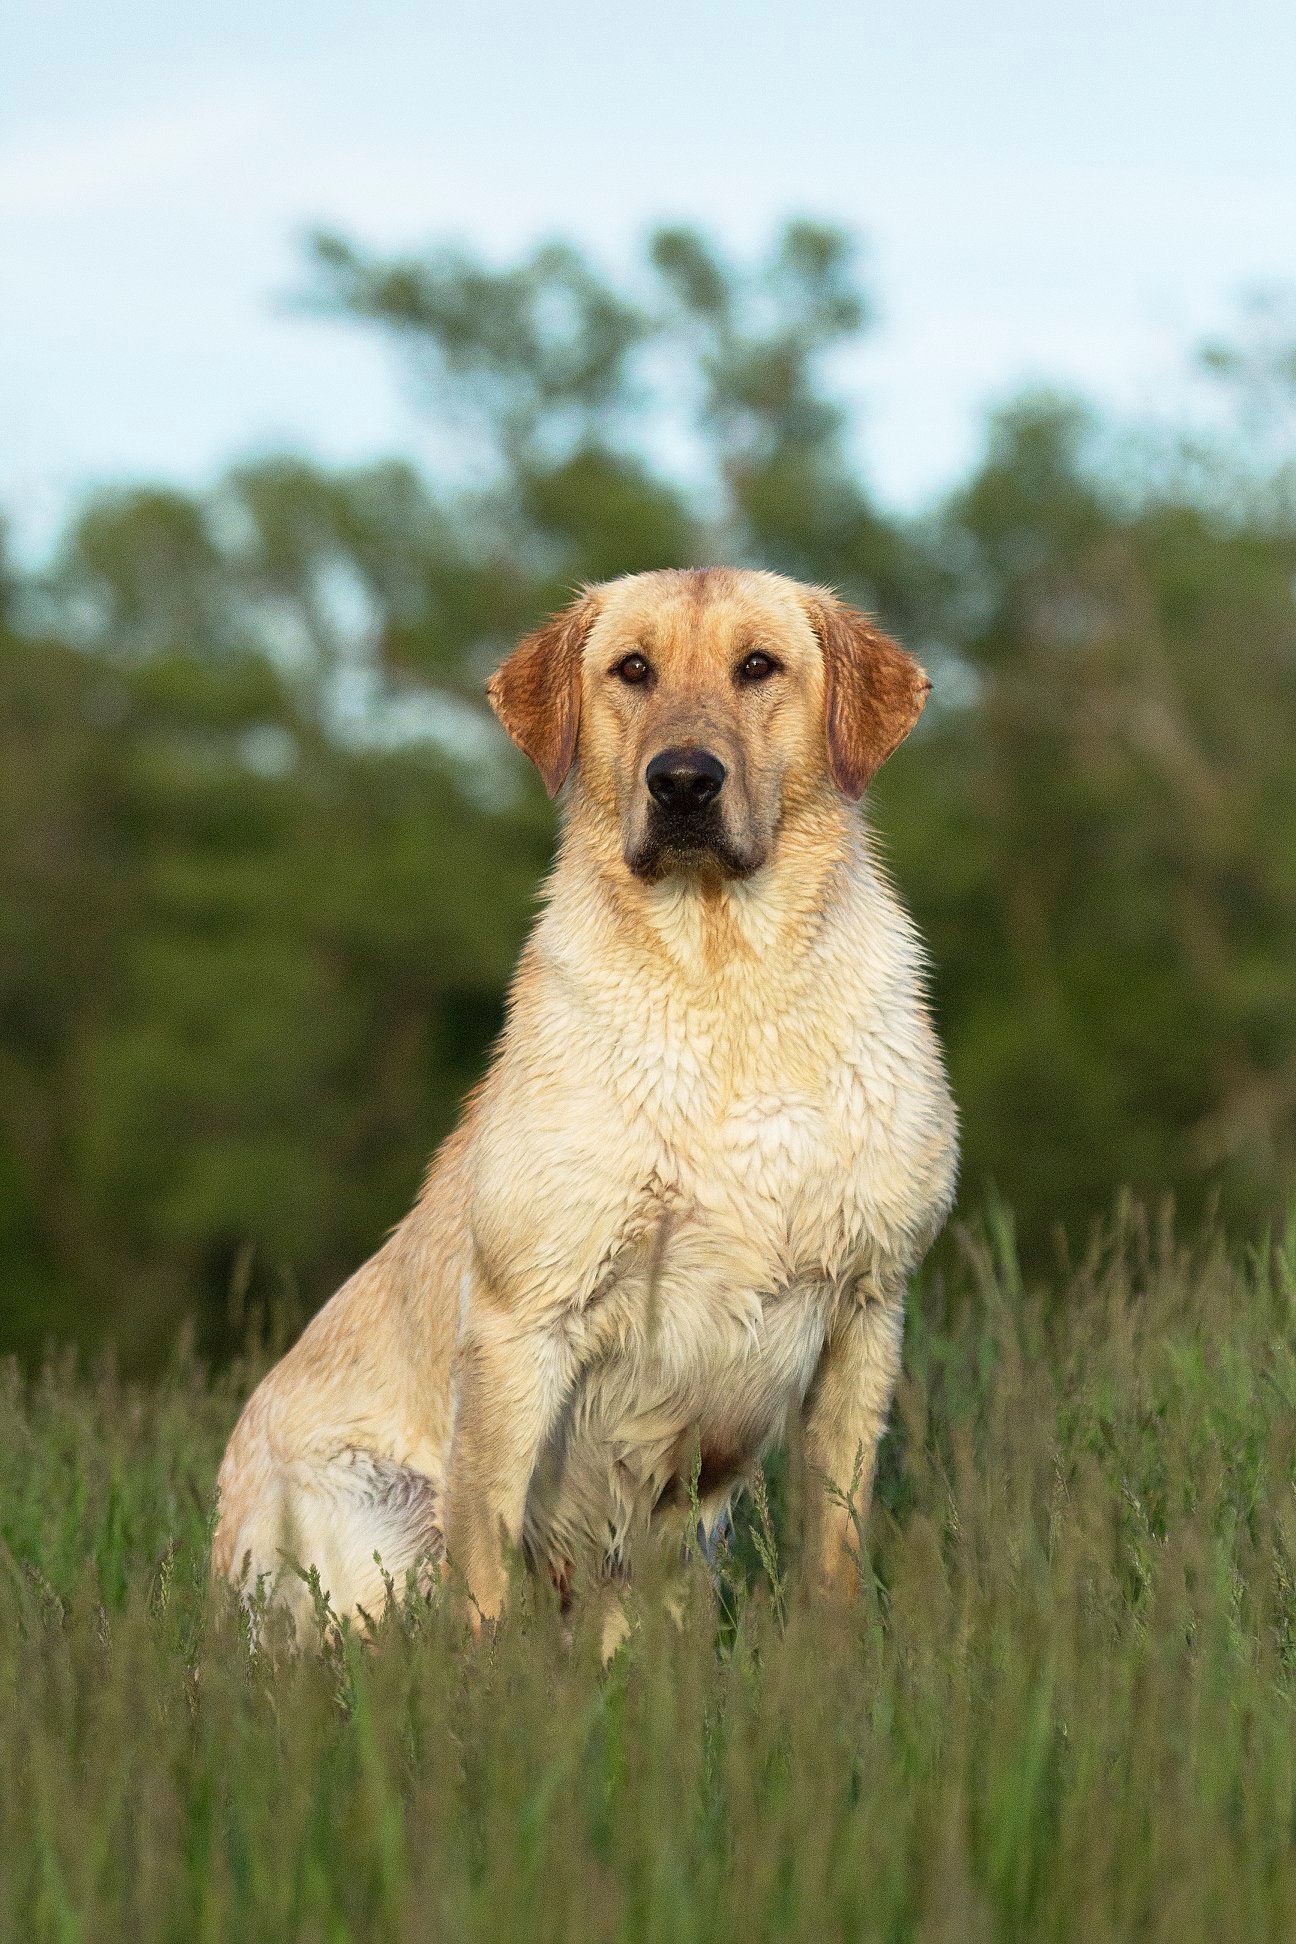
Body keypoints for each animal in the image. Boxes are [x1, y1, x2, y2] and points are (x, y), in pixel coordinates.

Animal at [212, 567, 959, 1640]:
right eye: (632, 670)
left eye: (759, 666)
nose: (682, 782)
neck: (726, 980)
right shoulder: (523, 1324)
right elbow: (489, 1574)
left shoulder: (866, 1307)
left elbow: (835, 1548)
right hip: (383, 1518)